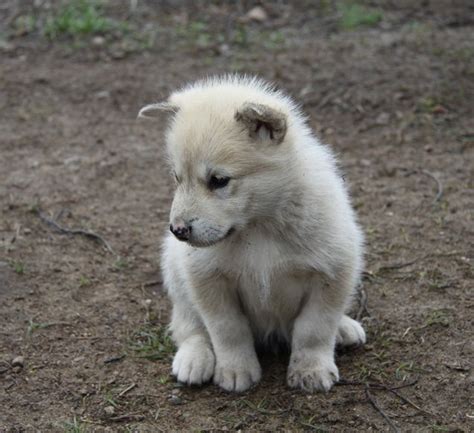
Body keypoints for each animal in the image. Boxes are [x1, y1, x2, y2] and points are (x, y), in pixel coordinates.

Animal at [139, 76, 364, 394]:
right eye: (176, 177)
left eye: (219, 180)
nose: (178, 231)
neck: (258, 228)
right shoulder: (207, 279)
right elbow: (227, 329)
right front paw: (236, 370)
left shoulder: (333, 273)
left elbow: (314, 327)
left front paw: (311, 370)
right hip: (176, 273)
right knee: (187, 324)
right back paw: (194, 359)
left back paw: (344, 328)